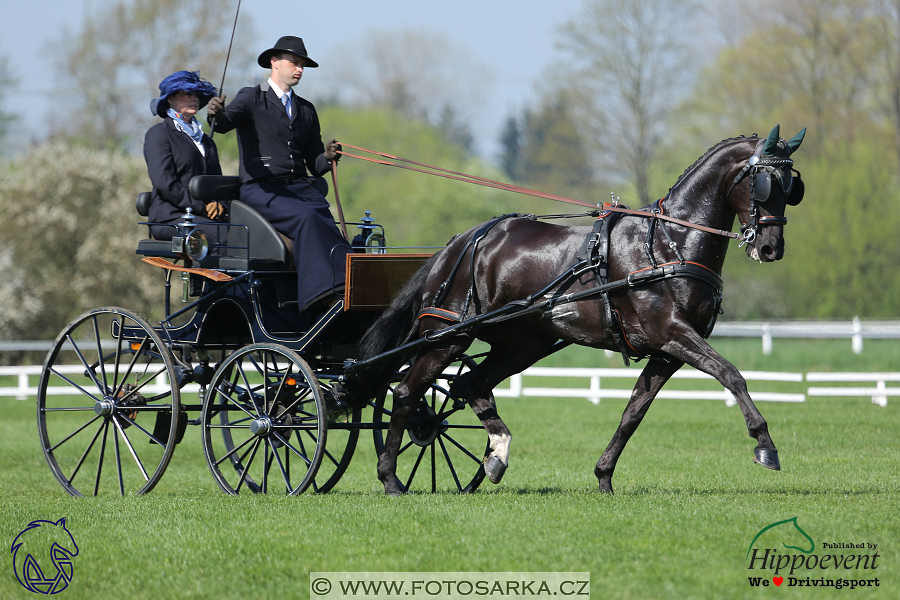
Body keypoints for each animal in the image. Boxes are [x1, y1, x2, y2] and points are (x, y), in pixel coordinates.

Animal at [350, 124, 808, 494]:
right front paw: (765, 445)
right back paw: (391, 478)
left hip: (522, 344)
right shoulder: (672, 333)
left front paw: (604, 476)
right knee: (406, 391)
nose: (771, 248)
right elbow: (731, 374)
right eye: (765, 182)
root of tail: (459, 242)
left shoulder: (666, 353)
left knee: (469, 385)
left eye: (793, 187)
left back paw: (496, 456)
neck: (668, 244)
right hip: (449, 335)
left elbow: (633, 413)